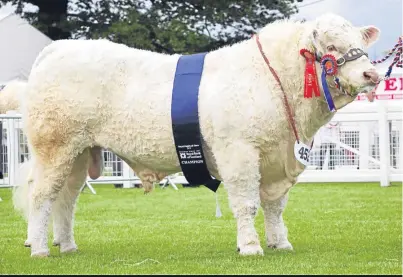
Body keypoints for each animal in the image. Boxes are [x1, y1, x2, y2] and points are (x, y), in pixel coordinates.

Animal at [11, 12, 382, 254]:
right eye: (331, 46)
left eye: (359, 41)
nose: (371, 74)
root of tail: (58, 48)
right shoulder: (238, 152)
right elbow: (247, 203)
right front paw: (250, 247)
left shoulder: (278, 159)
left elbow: (275, 206)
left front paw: (280, 243)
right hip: (55, 147)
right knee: (42, 196)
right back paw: (40, 249)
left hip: (80, 152)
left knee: (66, 199)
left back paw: (68, 246)